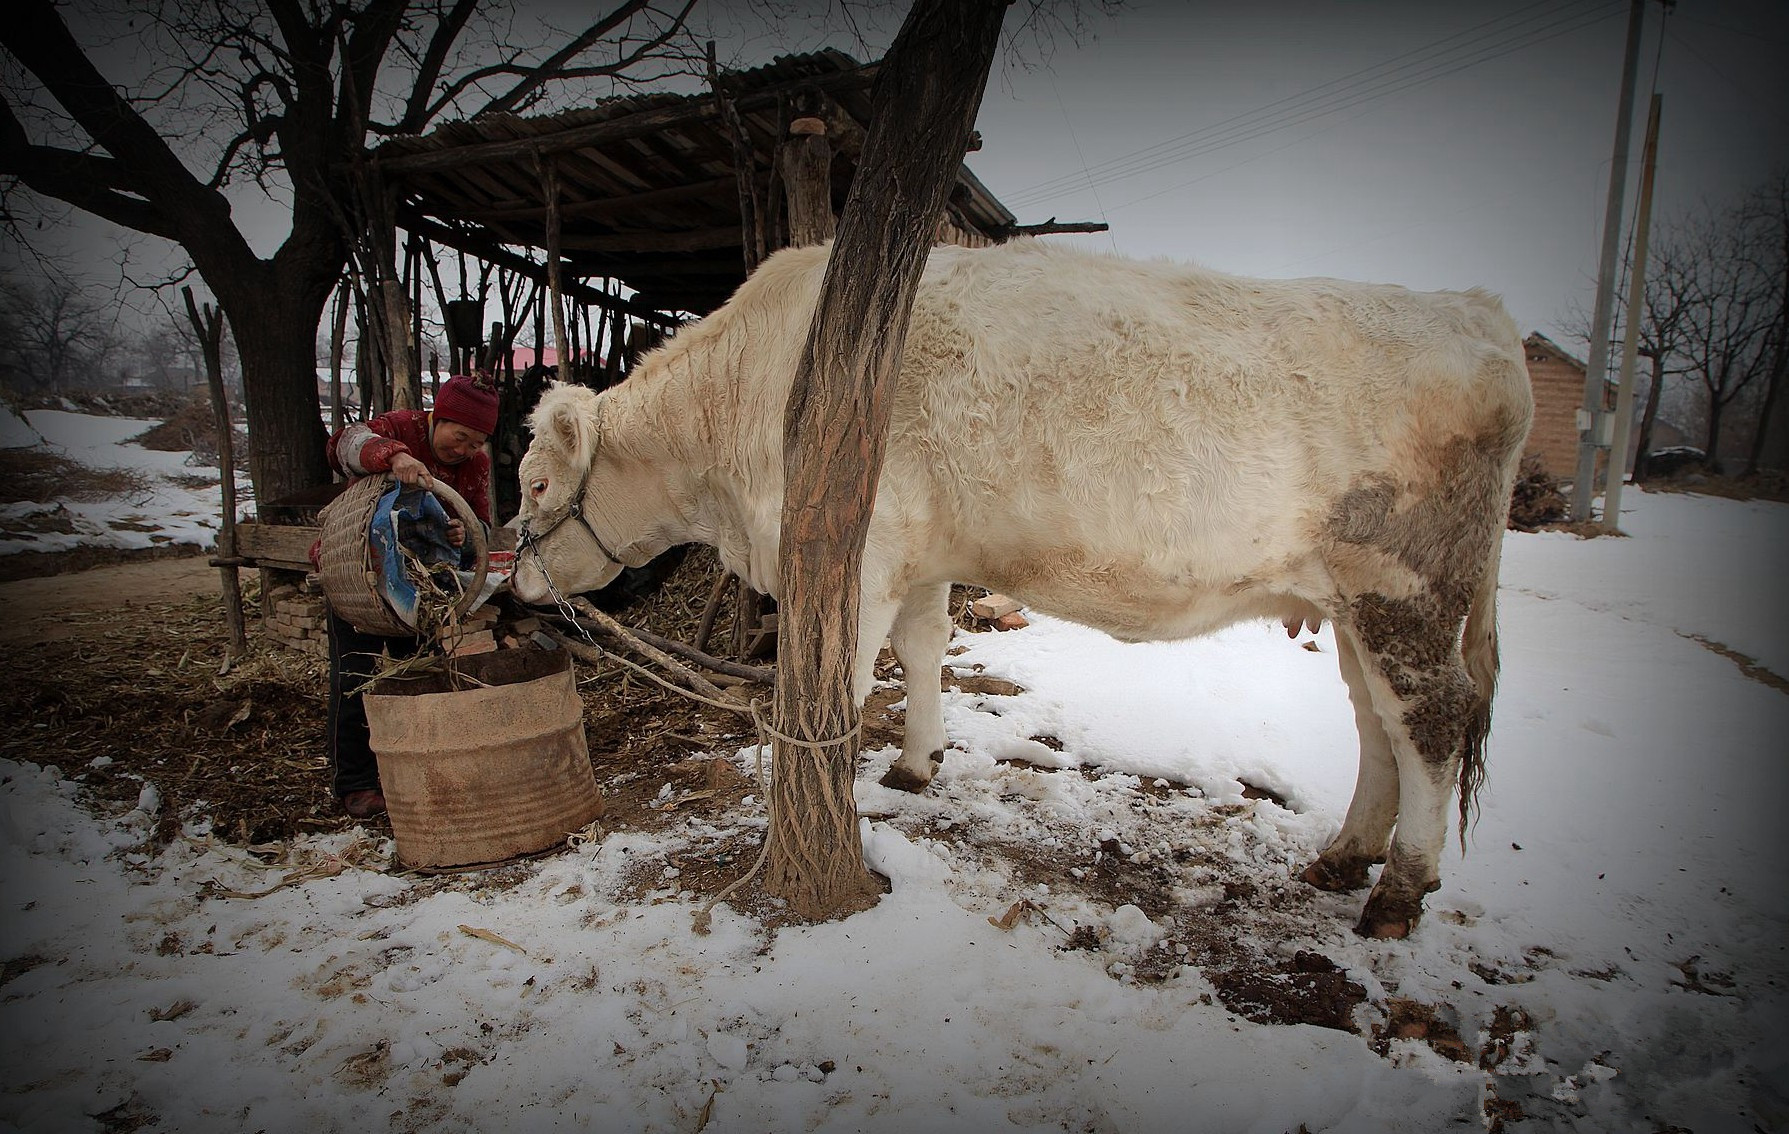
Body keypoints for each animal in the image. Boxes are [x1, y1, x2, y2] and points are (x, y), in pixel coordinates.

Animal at [511, 234, 1531, 930]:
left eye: (533, 483)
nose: (513, 582)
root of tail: (1477, 312)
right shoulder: (921, 553)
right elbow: (921, 650)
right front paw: (917, 763)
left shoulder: (859, 553)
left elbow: (843, 680)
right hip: (1355, 601)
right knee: (1374, 716)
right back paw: (1346, 855)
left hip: (1404, 585)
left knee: (1428, 717)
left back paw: (1398, 890)